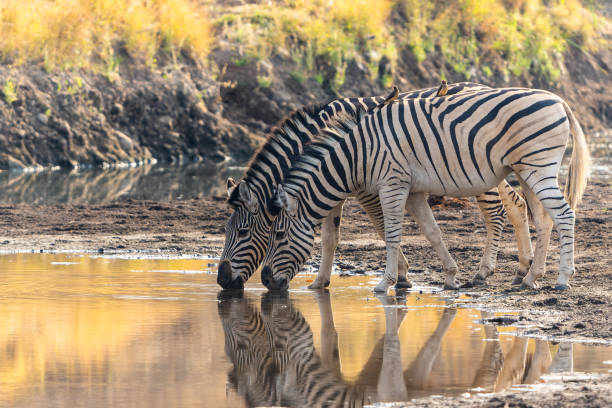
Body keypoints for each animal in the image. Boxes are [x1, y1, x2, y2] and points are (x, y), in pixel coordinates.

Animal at [262, 88, 588, 294]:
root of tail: (557, 99)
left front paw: (386, 283)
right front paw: (451, 278)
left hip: (538, 166)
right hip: (526, 170)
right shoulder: (414, 191)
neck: (357, 155)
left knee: (564, 216)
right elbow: (433, 232)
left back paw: (563, 279)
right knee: (544, 220)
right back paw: (531, 278)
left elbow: (392, 235)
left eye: (278, 235)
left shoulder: (392, 184)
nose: (265, 282)